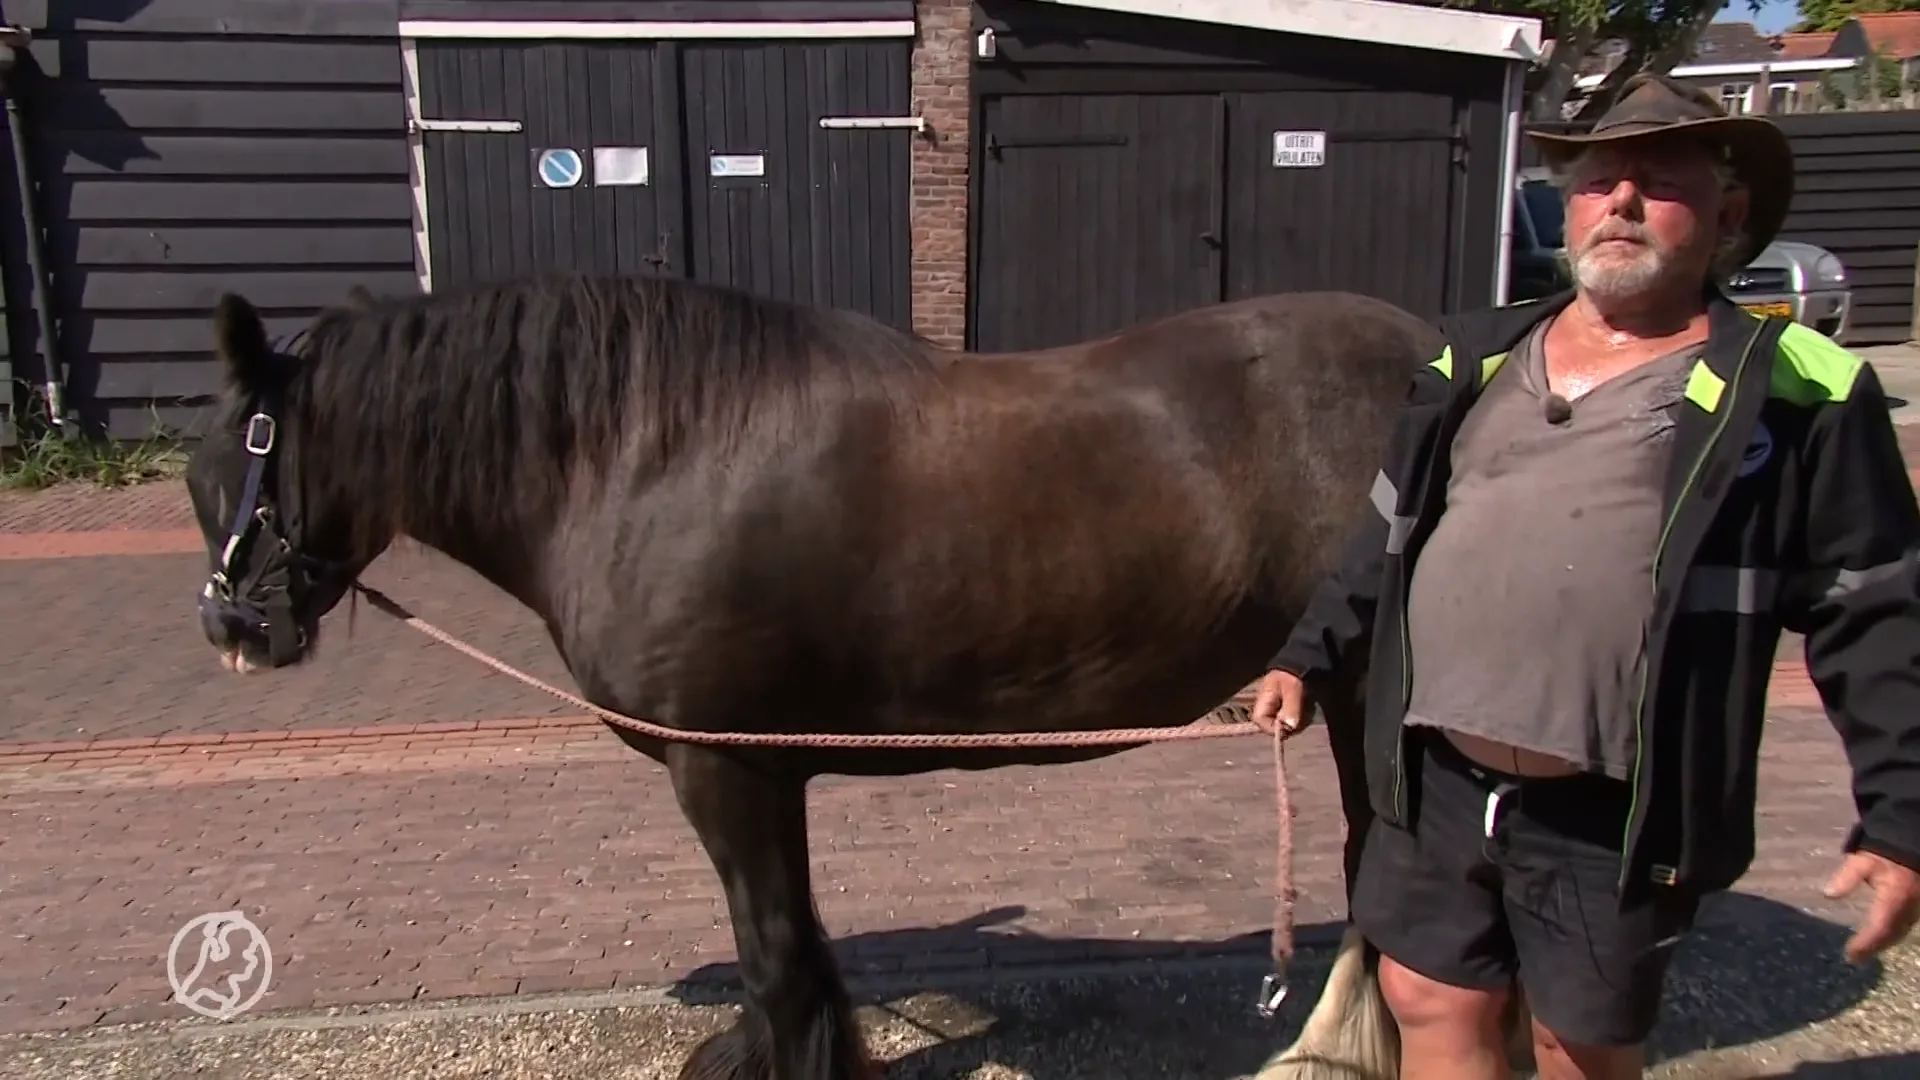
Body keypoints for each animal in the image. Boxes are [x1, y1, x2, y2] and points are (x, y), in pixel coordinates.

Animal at [182, 269, 1454, 1079]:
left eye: (227, 466)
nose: (235, 631)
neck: (645, 456)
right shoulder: (764, 770)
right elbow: (789, 949)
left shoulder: (723, 772)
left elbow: (778, 960)